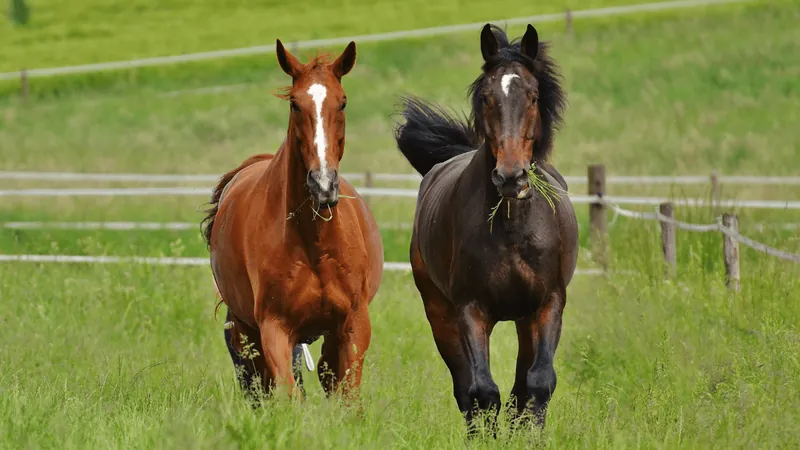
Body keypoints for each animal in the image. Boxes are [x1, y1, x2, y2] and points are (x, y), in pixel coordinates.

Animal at [203, 39, 384, 400]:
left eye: (343, 102)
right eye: (295, 105)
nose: (323, 184)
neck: (314, 243)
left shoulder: (354, 324)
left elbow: (347, 397)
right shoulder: (274, 328)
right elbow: (288, 394)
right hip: (247, 331)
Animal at [392, 24, 576, 432]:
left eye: (534, 96)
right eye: (487, 97)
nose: (510, 177)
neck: (512, 230)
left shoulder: (549, 303)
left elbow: (537, 384)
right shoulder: (470, 310)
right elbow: (482, 391)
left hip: (525, 319)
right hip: (440, 313)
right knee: (466, 389)